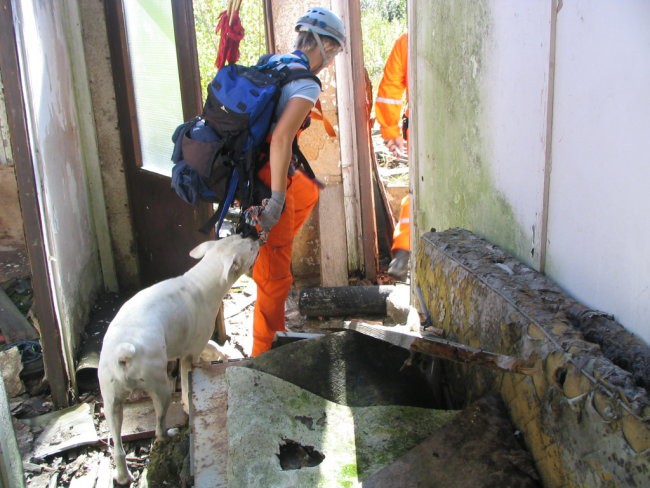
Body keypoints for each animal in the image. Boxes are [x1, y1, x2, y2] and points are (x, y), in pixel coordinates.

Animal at [97, 235, 258, 484]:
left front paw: (226, 353)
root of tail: (124, 350)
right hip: (160, 389)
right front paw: (188, 403)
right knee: (159, 427)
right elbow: (188, 379)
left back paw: (123, 476)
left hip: (111, 401)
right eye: (250, 248)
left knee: (118, 448)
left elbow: (212, 350)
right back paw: (168, 434)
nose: (255, 236)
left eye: (238, 237)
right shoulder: (191, 352)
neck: (202, 280)